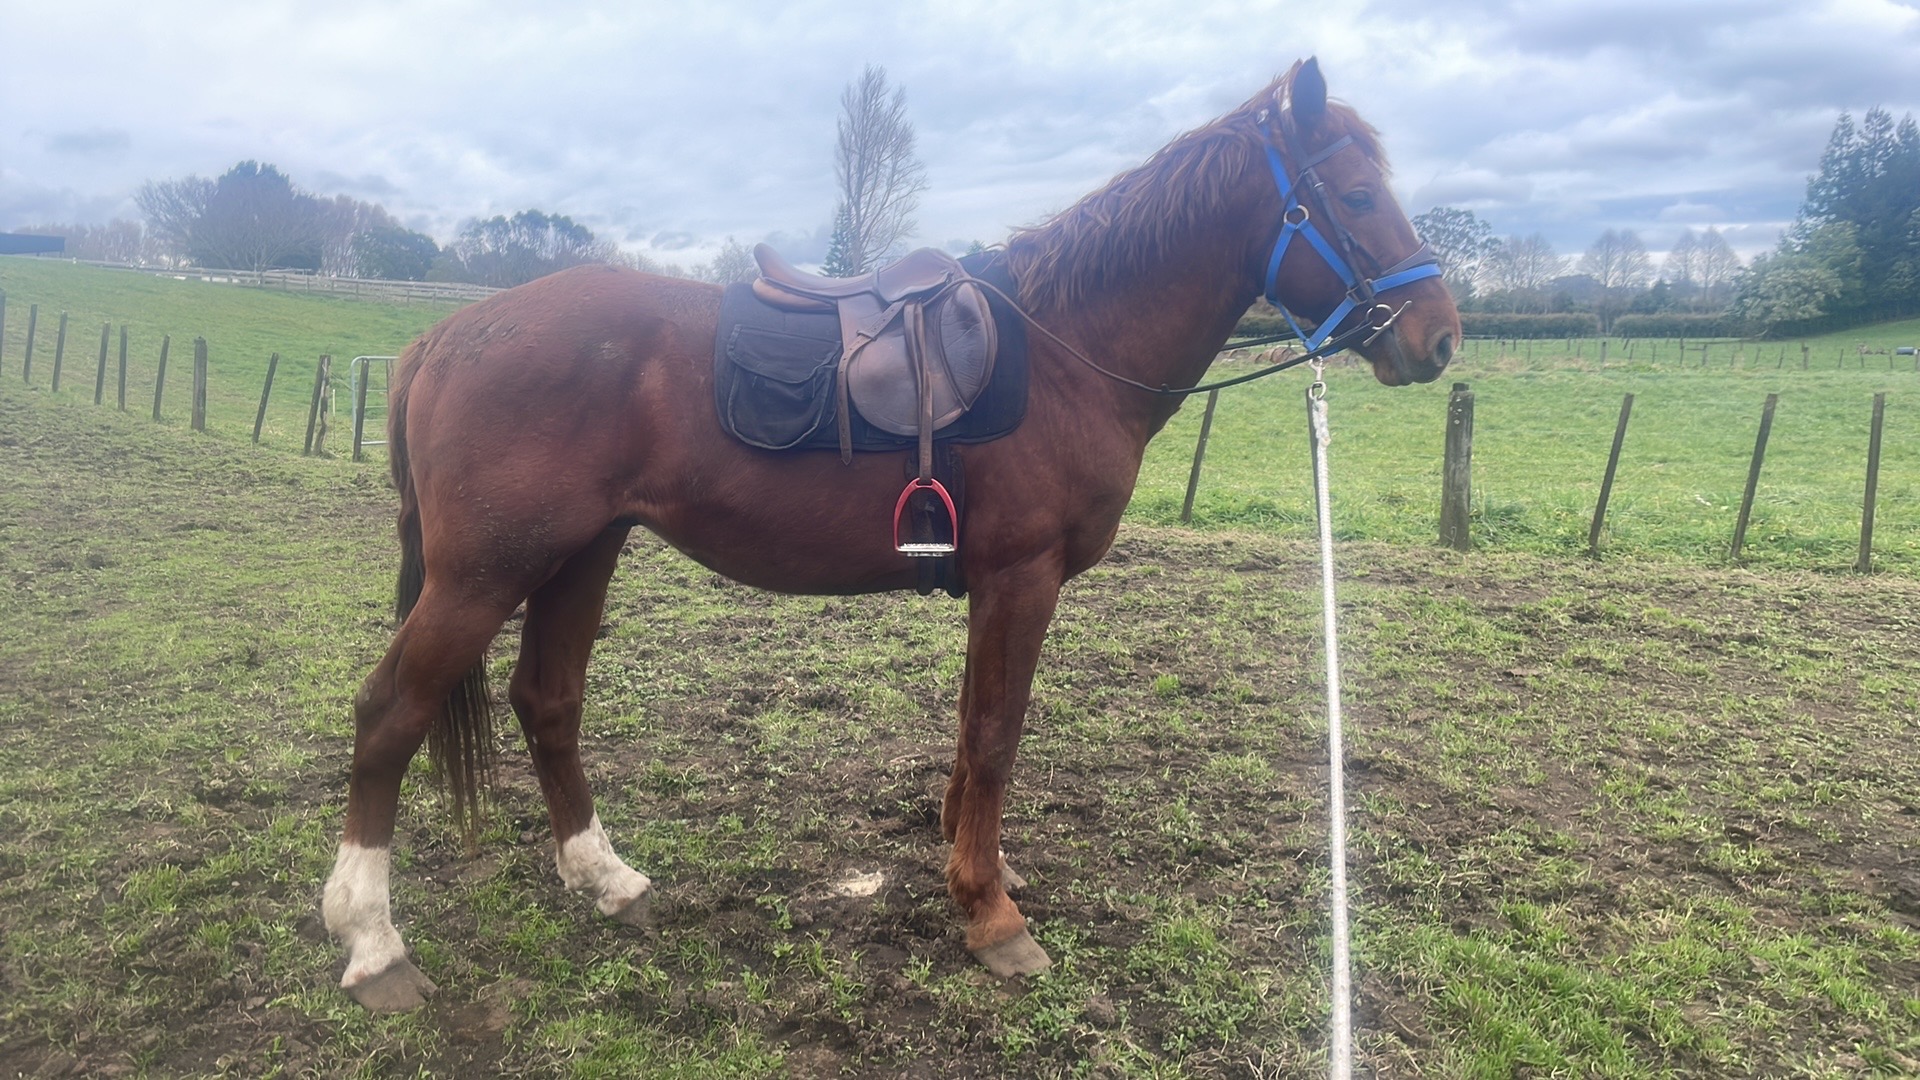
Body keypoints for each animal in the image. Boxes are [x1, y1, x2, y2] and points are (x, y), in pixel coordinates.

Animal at [321, 57, 1459, 1011]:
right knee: (388, 716)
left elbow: (968, 731)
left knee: (546, 702)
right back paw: (374, 945)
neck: (1067, 349)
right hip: (483, 573)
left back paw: (604, 877)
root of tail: (448, 335)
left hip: (577, 555)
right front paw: (992, 916)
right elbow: (996, 734)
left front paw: (975, 865)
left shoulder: (993, 584)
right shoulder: (1022, 577)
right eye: (1358, 196)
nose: (1439, 336)